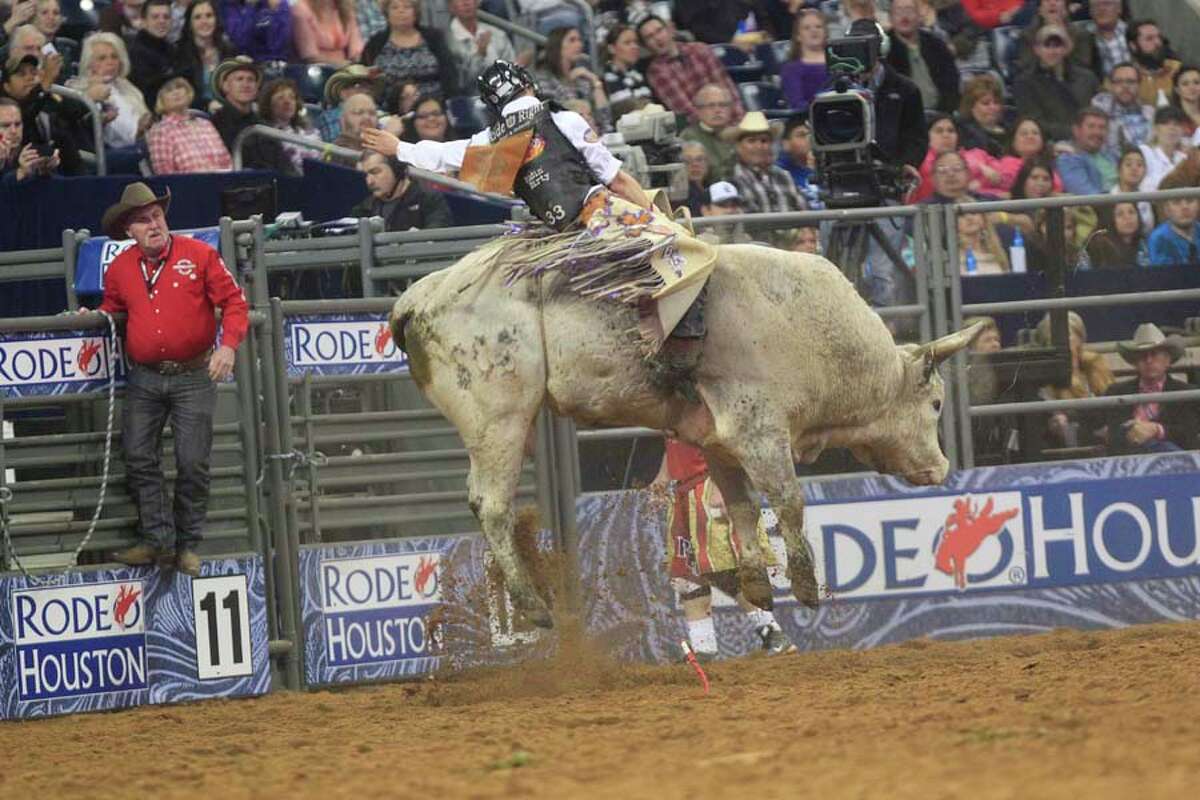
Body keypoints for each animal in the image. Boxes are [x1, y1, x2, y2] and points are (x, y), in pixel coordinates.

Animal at [388, 241, 979, 628]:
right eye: (935, 402)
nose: (940, 468)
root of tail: (416, 299)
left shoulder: (721, 440)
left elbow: (741, 508)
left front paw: (756, 584)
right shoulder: (760, 429)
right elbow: (788, 500)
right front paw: (805, 586)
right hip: (501, 418)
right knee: (490, 504)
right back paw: (533, 604)